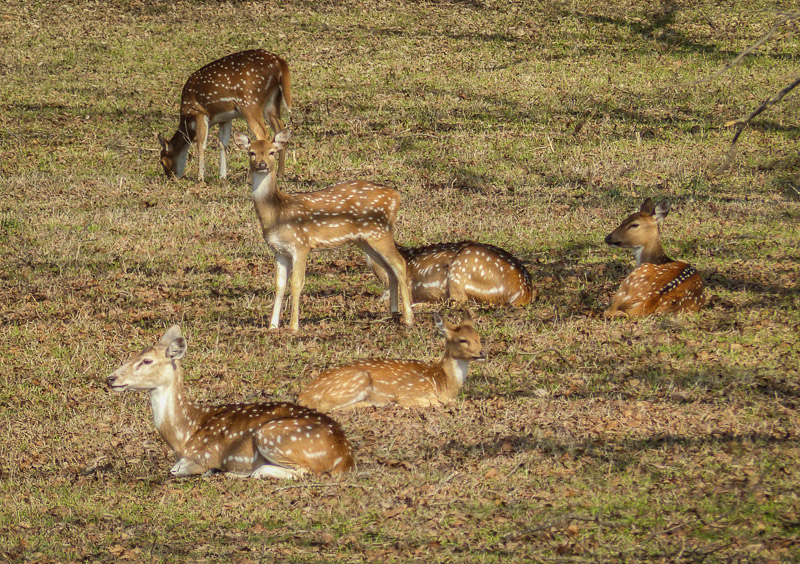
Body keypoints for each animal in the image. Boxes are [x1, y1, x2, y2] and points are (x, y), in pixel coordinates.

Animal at [107, 325, 354, 479]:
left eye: (147, 361)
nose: (111, 378)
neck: (183, 435)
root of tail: (345, 454)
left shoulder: (204, 455)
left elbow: (175, 470)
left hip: (273, 435)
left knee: (305, 471)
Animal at [157, 49, 292, 181]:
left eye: (162, 161)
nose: (171, 178)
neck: (188, 119)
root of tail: (280, 63)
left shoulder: (199, 112)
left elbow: (201, 143)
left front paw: (200, 178)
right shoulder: (225, 118)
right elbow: (223, 144)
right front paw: (222, 176)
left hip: (249, 103)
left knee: (263, 134)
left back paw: (252, 177)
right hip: (272, 102)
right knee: (279, 130)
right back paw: (280, 175)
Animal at [234, 128, 414, 332]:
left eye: (272, 152)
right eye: (252, 152)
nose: (262, 165)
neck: (277, 214)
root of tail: (396, 196)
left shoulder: (301, 244)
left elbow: (296, 284)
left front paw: (293, 326)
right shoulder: (279, 250)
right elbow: (279, 285)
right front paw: (272, 326)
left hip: (379, 231)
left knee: (400, 263)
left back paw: (409, 318)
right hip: (365, 239)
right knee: (389, 268)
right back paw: (393, 314)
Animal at [297, 311, 485, 411]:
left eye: (479, 337)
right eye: (463, 340)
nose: (483, 352)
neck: (442, 382)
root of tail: (304, 395)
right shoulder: (408, 392)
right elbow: (433, 402)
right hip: (358, 379)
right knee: (323, 405)